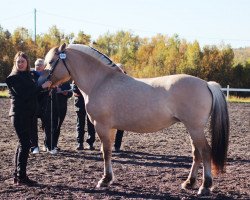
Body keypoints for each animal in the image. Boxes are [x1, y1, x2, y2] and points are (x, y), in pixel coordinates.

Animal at [44, 43, 229, 195]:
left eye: (51, 62)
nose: (43, 84)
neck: (100, 81)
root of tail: (206, 84)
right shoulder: (110, 128)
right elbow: (108, 152)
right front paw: (109, 178)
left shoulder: (101, 126)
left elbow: (105, 152)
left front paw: (104, 180)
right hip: (192, 128)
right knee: (196, 153)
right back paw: (189, 183)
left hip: (195, 128)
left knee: (205, 152)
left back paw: (205, 186)